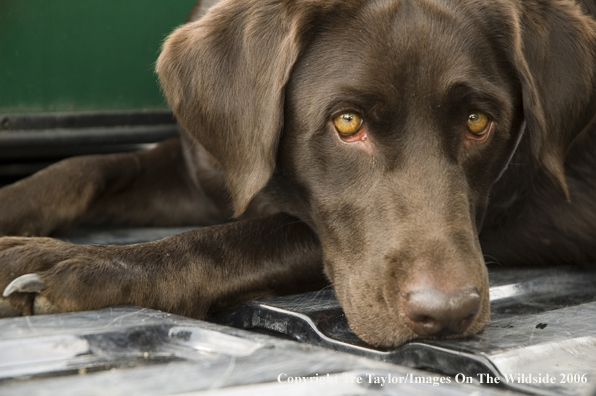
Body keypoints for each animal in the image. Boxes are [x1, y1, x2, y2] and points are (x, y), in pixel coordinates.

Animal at [1, 0, 596, 346]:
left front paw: (80, 265)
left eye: (478, 121)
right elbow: (87, 166)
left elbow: (255, 234)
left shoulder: (517, 208)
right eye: (347, 121)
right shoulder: (205, 171)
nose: (447, 314)